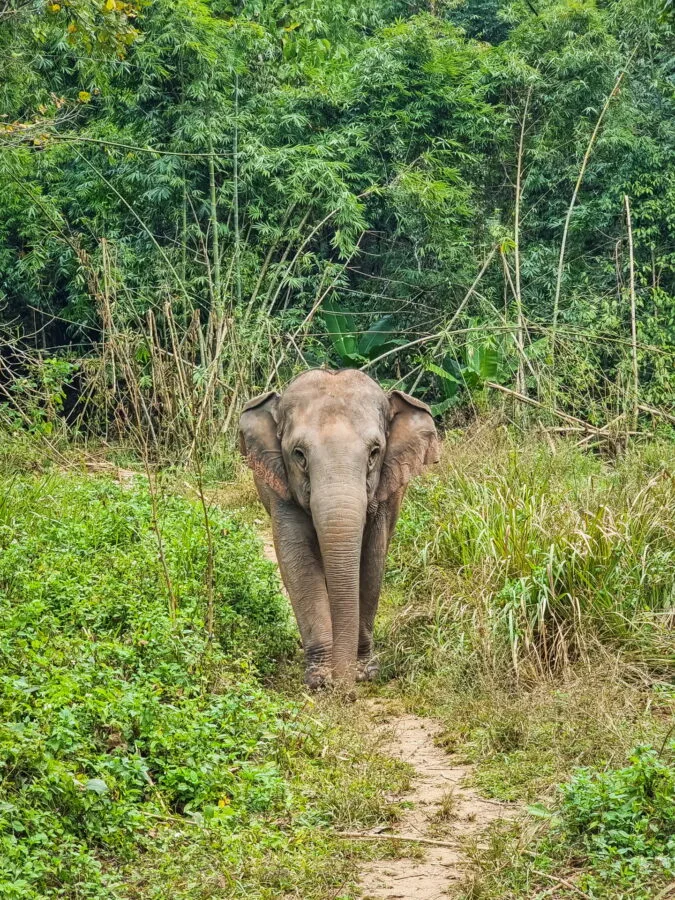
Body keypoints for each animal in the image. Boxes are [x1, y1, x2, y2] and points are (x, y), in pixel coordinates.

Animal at [238, 368, 440, 688]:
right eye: (299, 454)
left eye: (374, 453)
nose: (345, 689)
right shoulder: (280, 490)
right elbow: (297, 559)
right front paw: (320, 679)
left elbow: (371, 562)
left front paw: (364, 672)